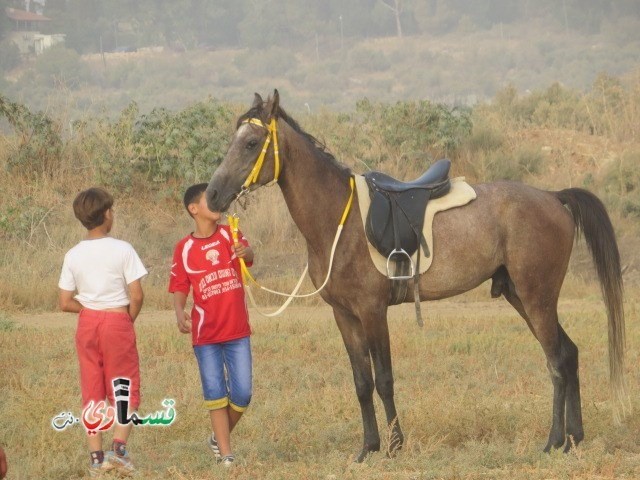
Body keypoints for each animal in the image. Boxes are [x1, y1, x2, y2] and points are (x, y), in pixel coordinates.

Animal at [206, 90, 624, 462]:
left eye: (252, 142)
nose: (211, 195)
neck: (339, 219)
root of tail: (554, 198)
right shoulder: (344, 315)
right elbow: (362, 383)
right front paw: (368, 448)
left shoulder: (373, 312)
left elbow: (384, 380)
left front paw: (394, 445)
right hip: (521, 297)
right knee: (568, 354)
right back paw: (574, 439)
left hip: (537, 298)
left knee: (556, 362)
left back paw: (554, 442)